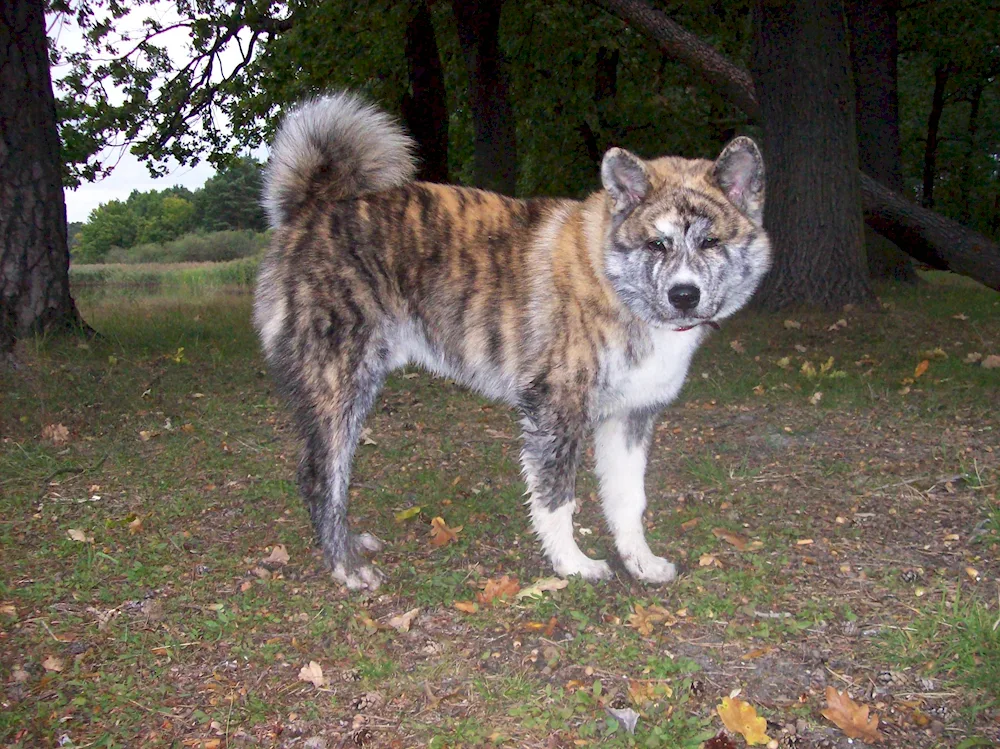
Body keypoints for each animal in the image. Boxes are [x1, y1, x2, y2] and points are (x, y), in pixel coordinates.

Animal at [254, 90, 768, 588]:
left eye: (710, 242)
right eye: (656, 244)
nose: (684, 295)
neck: (613, 279)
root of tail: (310, 210)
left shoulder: (630, 417)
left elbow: (628, 500)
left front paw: (639, 562)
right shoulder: (555, 409)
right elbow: (557, 498)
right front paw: (571, 565)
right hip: (339, 385)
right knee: (320, 478)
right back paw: (345, 565)